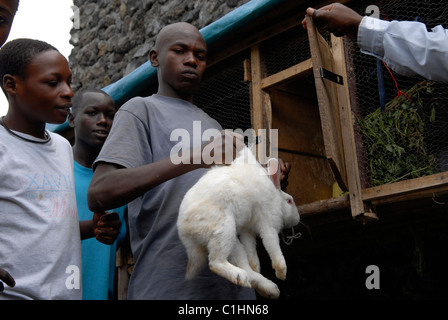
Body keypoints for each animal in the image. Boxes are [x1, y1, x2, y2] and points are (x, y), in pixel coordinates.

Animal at [177, 146, 300, 298]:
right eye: (289, 201)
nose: (298, 218)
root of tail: (186, 233)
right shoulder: (269, 221)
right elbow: (272, 245)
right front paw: (281, 272)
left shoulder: (247, 230)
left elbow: (251, 251)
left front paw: (257, 267)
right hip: (224, 230)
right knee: (215, 263)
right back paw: (241, 276)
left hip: (232, 241)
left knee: (246, 268)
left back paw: (269, 289)